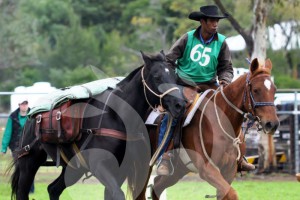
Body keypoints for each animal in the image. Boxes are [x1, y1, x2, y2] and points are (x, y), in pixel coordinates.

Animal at [9, 51, 185, 200]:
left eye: (175, 77)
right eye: (157, 77)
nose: (180, 104)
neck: (116, 116)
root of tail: (31, 116)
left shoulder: (120, 170)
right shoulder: (100, 166)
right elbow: (118, 194)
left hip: (73, 168)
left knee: (53, 189)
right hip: (29, 163)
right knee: (23, 192)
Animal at [137, 57, 280, 200]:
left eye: (274, 90)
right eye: (256, 90)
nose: (272, 123)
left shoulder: (229, 170)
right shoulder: (207, 169)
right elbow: (232, 194)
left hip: (179, 169)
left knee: (157, 186)